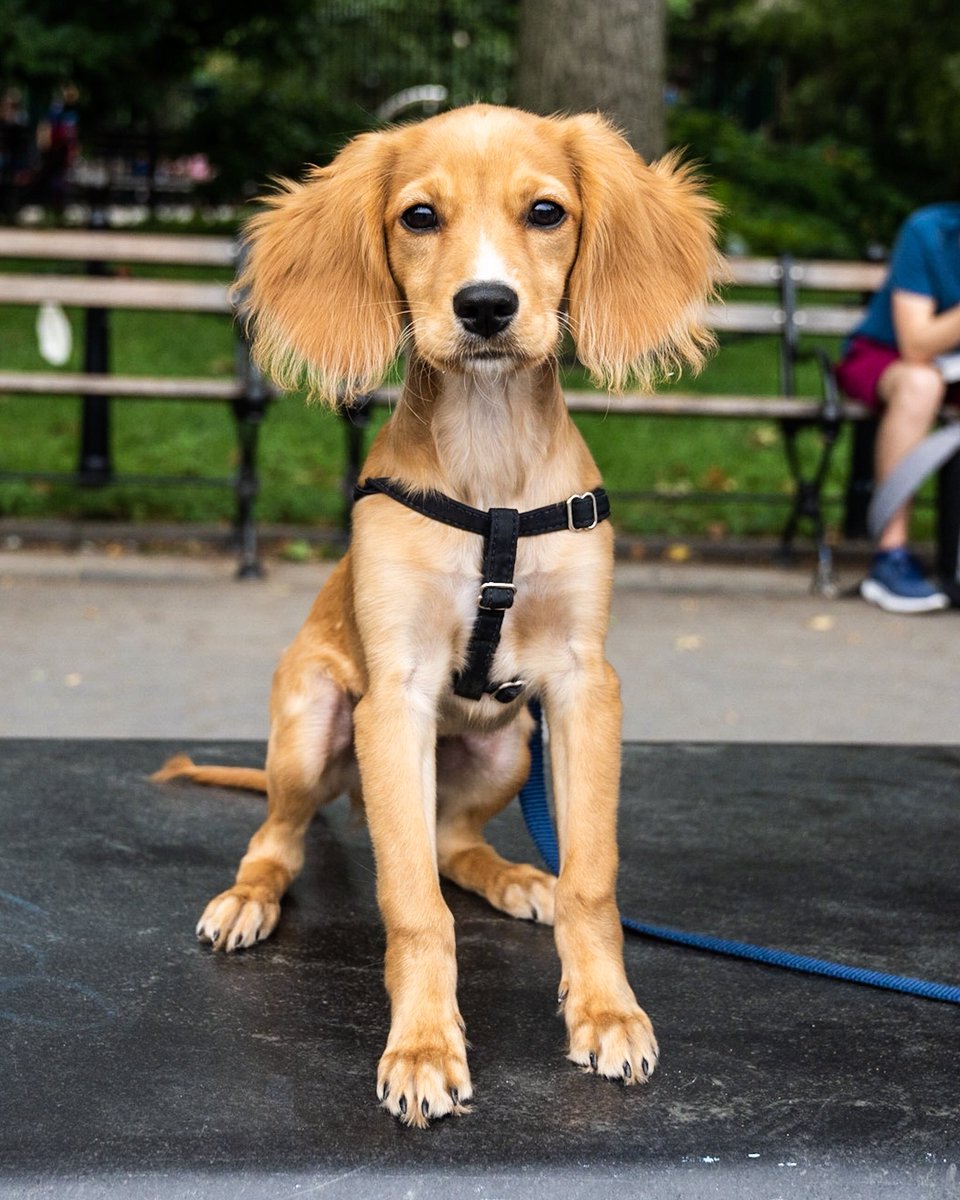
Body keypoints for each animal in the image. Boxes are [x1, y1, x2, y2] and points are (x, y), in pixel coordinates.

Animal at [153, 103, 715, 1123]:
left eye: (546, 212)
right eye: (419, 217)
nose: (485, 306)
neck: (490, 474)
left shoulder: (584, 685)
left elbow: (592, 878)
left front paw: (606, 1012)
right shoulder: (397, 697)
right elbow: (412, 904)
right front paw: (421, 1048)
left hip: (510, 746)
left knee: (456, 842)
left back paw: (519, 877)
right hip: (312, 727)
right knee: (280, 837)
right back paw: (249, 898)